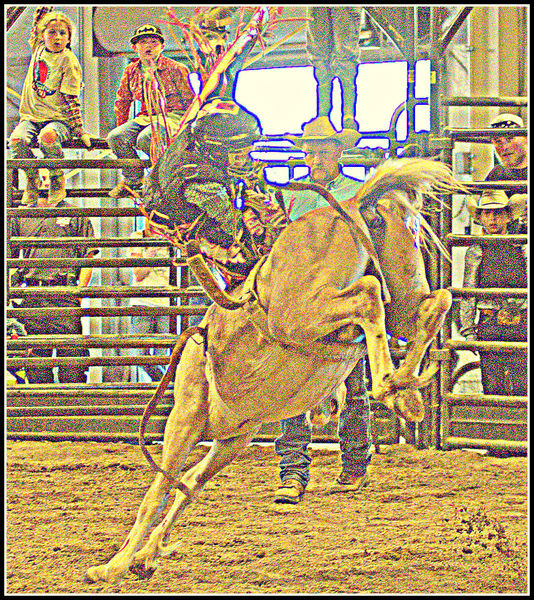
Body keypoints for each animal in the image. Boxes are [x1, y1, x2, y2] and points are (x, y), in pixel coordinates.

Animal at [86, 156, 466, 580]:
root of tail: (355, 205)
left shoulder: (184, 418)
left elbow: (159, 491)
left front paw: (114, 565)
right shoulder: (232, 437)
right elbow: (186, 485)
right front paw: (144, 555)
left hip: (300, 317)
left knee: (370, 296)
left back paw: (391, 384)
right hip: (399, 293)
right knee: (433, 303)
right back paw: (407, 393)